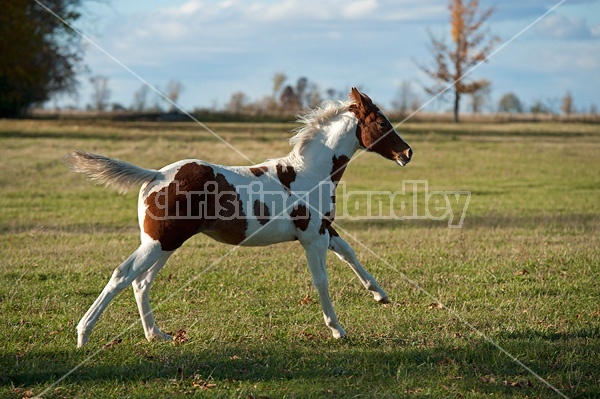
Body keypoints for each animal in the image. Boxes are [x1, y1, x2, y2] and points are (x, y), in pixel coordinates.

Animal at [67, 87, 412, 346]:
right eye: (382, 123)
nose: (407, 153)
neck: (309, 172)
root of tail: (155, 175)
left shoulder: (324, 230)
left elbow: (349, 254)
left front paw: (380, 295)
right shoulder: (311, 237)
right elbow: (322, 280)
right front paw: (337, 329)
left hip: (165, 243)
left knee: (141, 282)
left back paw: (156, 335)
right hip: (158, 242)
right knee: (122, 275)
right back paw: (84, 334)